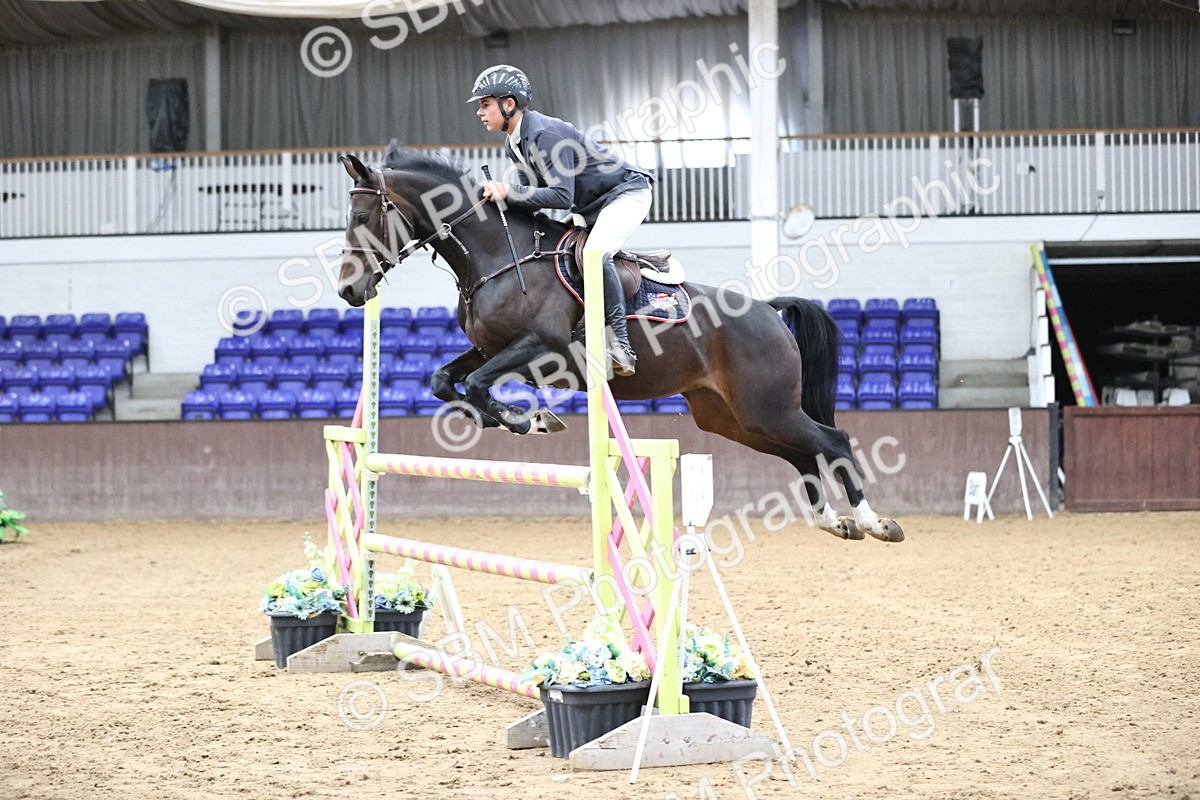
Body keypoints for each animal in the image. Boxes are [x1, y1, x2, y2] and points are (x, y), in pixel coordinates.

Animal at [336, 145, 903, 543]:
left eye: (362, 219)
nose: (348, 291)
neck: (496, 253)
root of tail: (768, 310)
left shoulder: (541, 347)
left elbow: (475, 384)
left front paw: (527, 419)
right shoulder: (489, 348)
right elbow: (445, 381)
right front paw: (517, 418)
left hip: (766, 407)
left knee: (834, 441)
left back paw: (875, 522)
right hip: (734, 417)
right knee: (802, 454)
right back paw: (834, 521)